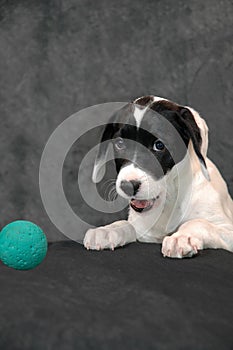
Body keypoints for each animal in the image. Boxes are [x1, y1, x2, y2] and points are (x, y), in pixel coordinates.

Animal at [83, 95, 233, 258]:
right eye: (120, 144)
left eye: (159, 145)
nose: (127, 186)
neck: (170, 199)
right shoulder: (144, 231)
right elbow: (126, 224)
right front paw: (108, 230)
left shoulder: (227, 229)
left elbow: (199, 222)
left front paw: (181, 237)